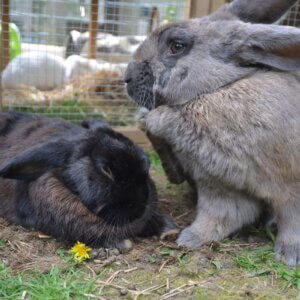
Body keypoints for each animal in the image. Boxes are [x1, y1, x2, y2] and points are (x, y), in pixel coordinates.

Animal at [125, 0, 300, 264]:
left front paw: (289, 257)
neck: (216, 90)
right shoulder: (219, 187)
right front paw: (190, 239)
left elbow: (292, 223)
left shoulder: (291, 190)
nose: (126, 77)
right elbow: (220, 217)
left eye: (177, 45)